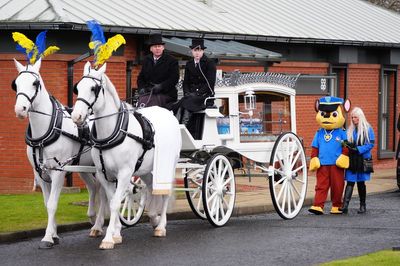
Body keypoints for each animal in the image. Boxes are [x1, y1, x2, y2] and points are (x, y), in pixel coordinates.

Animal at [12, 58, 107, 249]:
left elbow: (52, 204)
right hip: (83, 166)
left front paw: (48, 237)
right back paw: (94, 220)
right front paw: (54, 234)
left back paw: (98, 225)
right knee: (94, 187)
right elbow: (46, 202)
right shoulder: (40, 173)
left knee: (103, 193)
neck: (47, 129)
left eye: (35, 83)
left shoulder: (58, 171)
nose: (20, 109)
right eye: (16, 84)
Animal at [71, 61, 180, 249]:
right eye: (77, 88)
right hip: (146, 169)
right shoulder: (103, 174)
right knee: (150, 188)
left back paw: (161, 226)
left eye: (93, 88)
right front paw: (116, 233)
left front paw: (108, 238)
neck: (113, 131)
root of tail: (169, 114)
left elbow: (116, 202)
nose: (76, 116)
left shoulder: (124, 173)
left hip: (168, 167)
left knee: (165, 193)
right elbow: (111, 200)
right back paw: (153, 217)